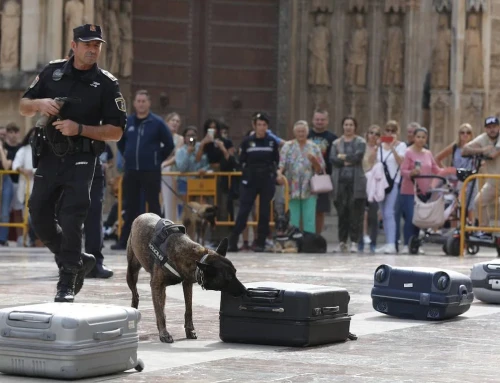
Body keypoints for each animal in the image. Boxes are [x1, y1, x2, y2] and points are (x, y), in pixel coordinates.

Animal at [125, 213, 246, 344]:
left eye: (235, 273)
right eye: (229, 278)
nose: (245, 290)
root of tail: (143, 215)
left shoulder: (187, 284)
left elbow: (188, 310)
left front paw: (190, 330)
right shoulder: (156, 285)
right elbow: (160, 313)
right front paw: (164, 333)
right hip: (131, 273)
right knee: (136, 296)